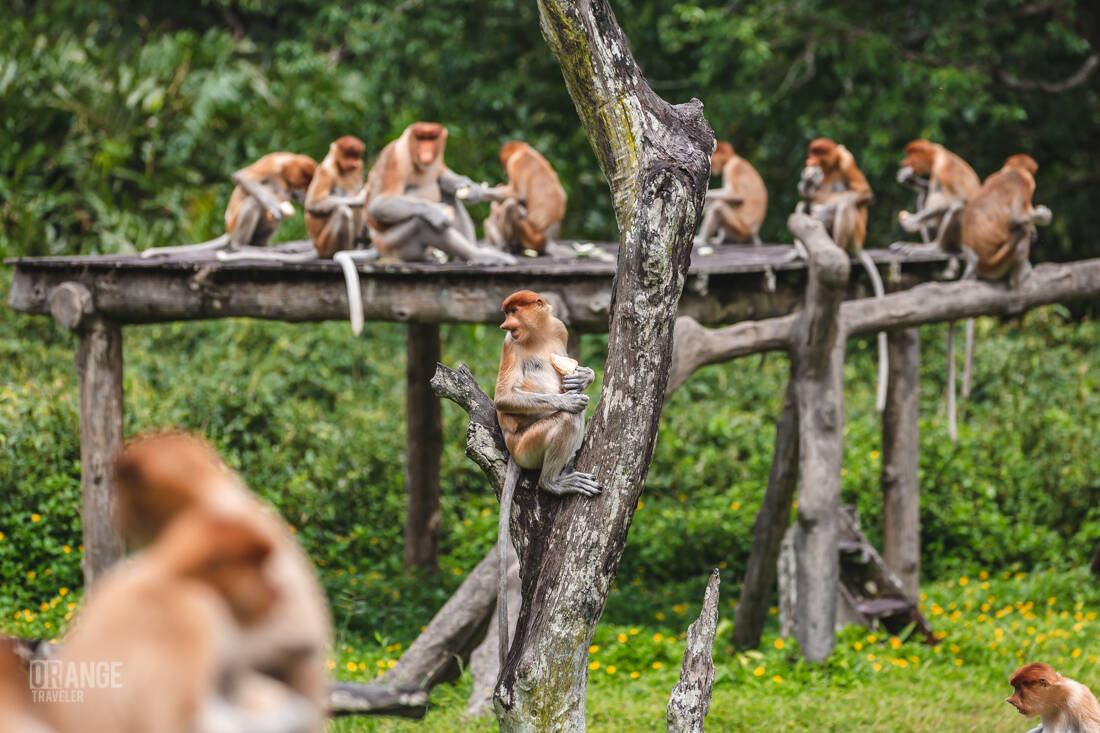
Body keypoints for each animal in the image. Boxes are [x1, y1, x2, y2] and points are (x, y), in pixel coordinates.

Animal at [141, 152, 317, 259]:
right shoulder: (272, 165)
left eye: (308, 186)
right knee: (252, 203)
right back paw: (242, 246)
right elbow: (243, 177)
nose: (304, 194)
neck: (285, 177)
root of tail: (229, 230)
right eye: (304, 184)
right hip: (236, 223)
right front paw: (274, 207)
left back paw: (266, 246)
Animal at [492, 290, 601, 667]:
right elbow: (504, 397)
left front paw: (582, 376)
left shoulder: (560, 328)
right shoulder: (509, 346)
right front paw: (568, 396)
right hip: (528, 445)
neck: (536, 336)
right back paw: (555, 481)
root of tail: (513, 450)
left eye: (514, 312)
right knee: (569, 418)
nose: (505, 325)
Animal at [794, 138, 889, 412]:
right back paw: (801, 250)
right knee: (803, 207)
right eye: (811, 152)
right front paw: (807, 183)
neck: (830, 167)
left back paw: (836, 246)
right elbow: (807, 195)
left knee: (847, 204)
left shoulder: (847, 161)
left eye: (819, 152)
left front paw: (826, 207)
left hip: (855, 233)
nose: (810, 161)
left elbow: (862, 193)